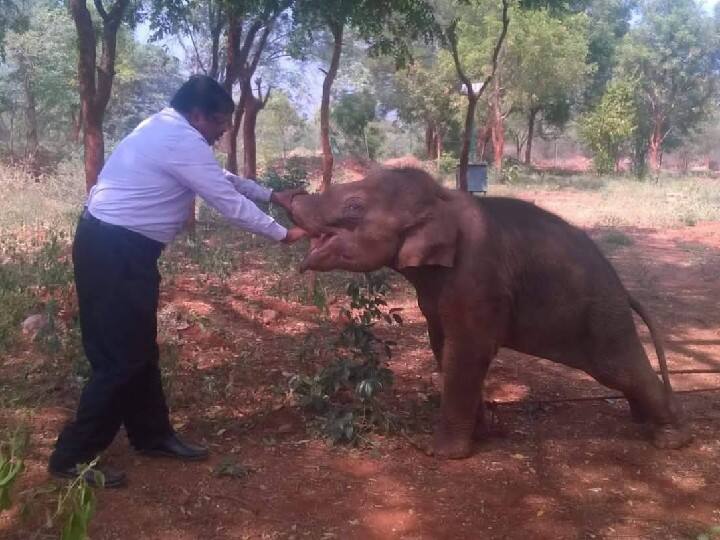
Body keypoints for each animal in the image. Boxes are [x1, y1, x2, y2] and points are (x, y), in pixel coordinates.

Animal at [286, 167, 692, 458]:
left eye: (354, 206)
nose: (286, 195)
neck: (442, 199)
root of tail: (624, 290)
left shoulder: (477, 277)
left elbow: (468, 351)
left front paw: (442, 454)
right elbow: (443, 347)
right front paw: (485, 433)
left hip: (602, 318)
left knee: (618, 368)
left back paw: (670, 439)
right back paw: (642, 422)